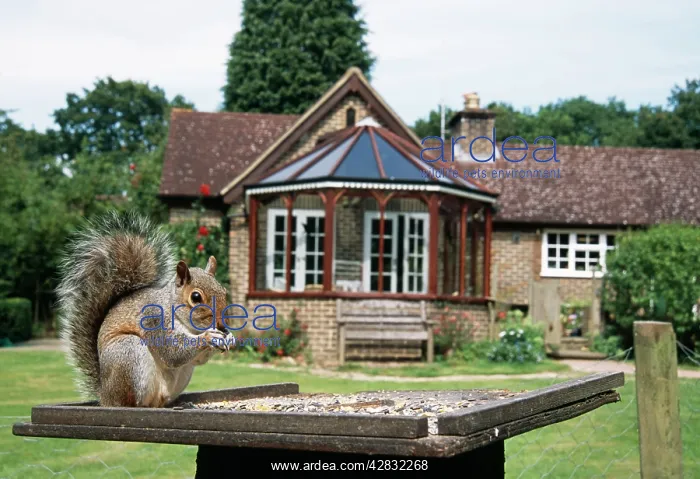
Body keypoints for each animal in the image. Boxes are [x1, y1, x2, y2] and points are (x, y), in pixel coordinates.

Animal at [56, 210, 234, 408]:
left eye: (224, 291)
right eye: (196, 297)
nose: (222, 325)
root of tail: (105, 395)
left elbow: (196, 359)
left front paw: (229, 337)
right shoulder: (154, 318)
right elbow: (172, 352)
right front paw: (210, 336)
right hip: (128, 352)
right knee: (128, 402)